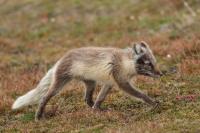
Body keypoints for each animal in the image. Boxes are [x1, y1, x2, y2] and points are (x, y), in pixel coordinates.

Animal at [11, 41, 162, 120]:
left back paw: (97, 110)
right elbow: (141, 95)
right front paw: (153, 104)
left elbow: (100, 98)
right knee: (43, 98)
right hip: (59, 84)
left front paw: (97, 109)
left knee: (87, 99)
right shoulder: (121, 83)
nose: (161, 74)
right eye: (148, 64)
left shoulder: (109, 83)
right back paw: (38, 117)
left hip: (91, 83)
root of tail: (60, 59)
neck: (125, 62)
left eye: (154, 63)